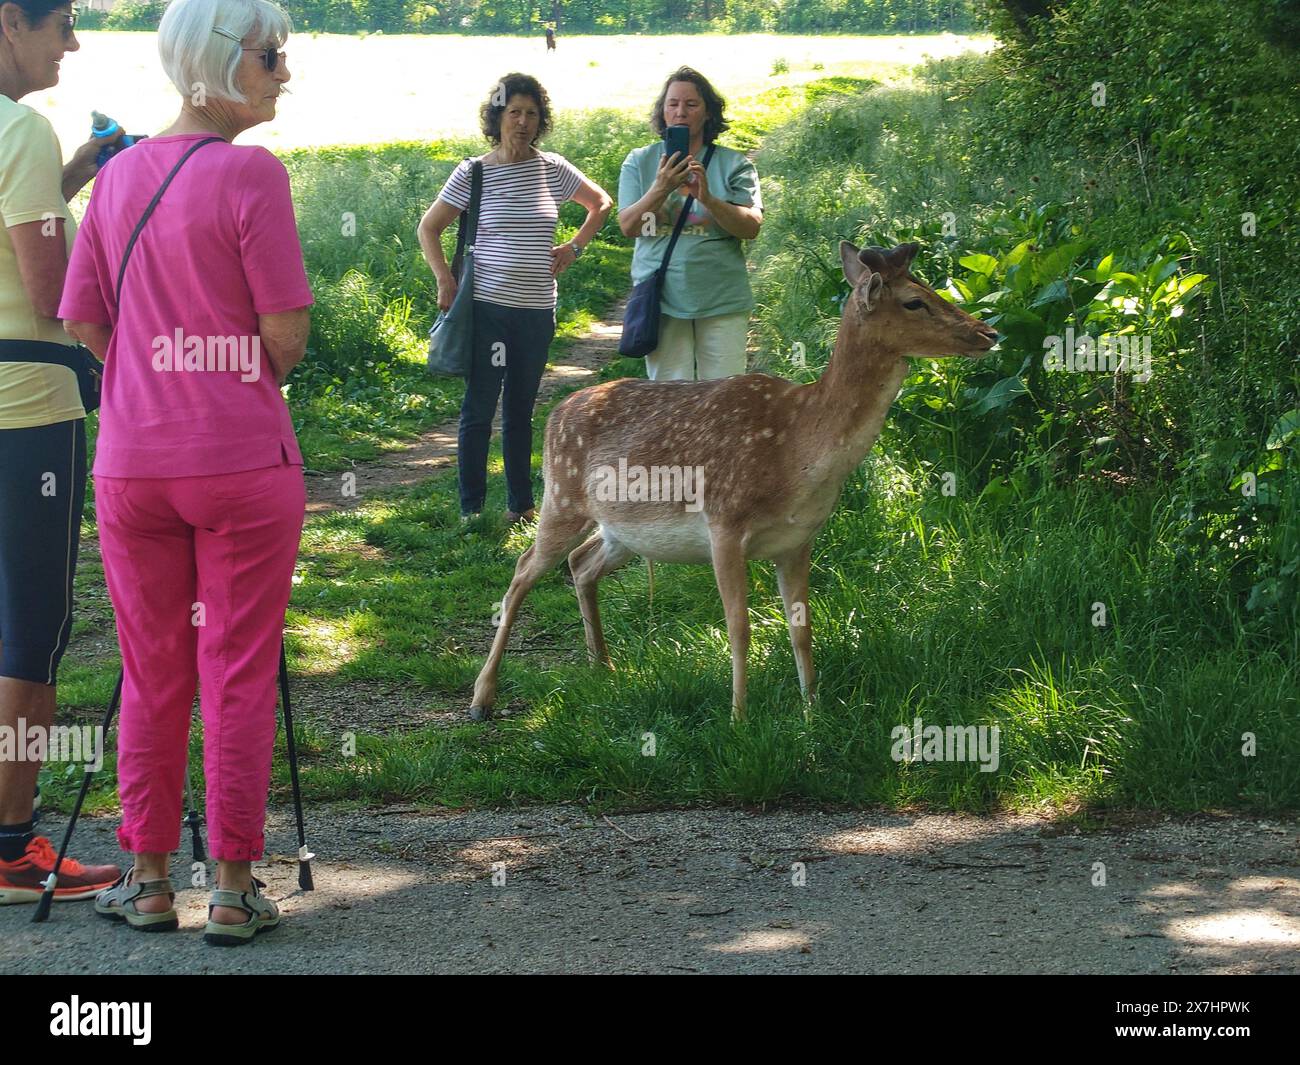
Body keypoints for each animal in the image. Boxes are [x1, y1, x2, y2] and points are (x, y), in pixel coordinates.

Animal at [473, 240, 998, 723]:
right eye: (914, 301)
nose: (988, 332)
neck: (797, 454)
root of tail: (555, 413)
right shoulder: (724, 523)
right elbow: (739, 626)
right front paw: (739, 718)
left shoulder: (798, 539)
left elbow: (802, 627)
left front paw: (812, 710)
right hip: (562, 497)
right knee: (522, 571)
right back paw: (483, 697)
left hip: (623, 530)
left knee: (581, 564)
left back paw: (603, 665)